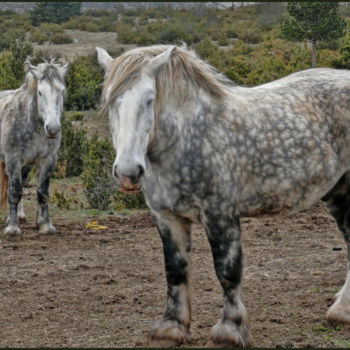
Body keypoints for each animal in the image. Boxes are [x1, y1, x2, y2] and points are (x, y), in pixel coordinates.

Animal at [0, 59, 68, 241]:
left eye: (62, 91)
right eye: (40, 92)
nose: (52, 128)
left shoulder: (48, 160)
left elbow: (42, 192)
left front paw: (44, 225)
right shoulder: (13, 160)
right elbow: (14, 193)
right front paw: (12, 228)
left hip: (27, 164)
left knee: (22, 183)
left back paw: (20, 215)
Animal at [96, 44, 350, 348]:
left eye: (149, 99)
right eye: (111, 101)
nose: (128, 171)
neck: (188, 136)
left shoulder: (219, 212)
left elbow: (227, 270)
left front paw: (230, 330)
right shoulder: (166, 216)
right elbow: (175, 270)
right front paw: (171, 327)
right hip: (337, 194)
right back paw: (341, 309)